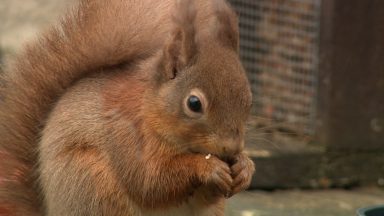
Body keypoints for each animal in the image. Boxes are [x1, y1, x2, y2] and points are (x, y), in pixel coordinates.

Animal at [0, 0, 256, 215]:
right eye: (194, 103)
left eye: (249, 99)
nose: (232, 148)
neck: (151, 109)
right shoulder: (125, 131)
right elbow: (149, 181)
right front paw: (208, 167)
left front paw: (245, 167)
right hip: (92, 187)